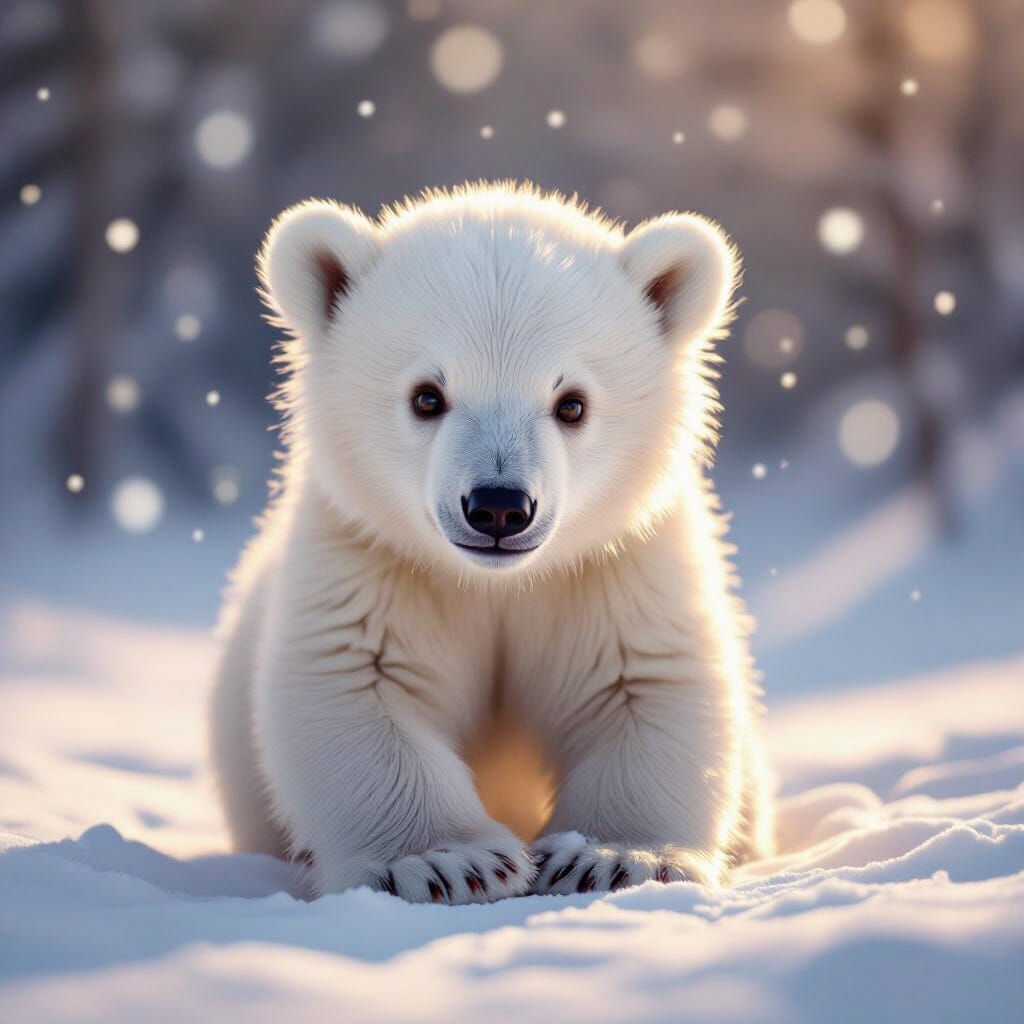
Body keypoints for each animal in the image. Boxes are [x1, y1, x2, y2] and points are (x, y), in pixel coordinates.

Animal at [209, 182, 774, 903]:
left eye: (571, 403)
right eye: (427, 396)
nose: (499, 506)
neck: (495, 587)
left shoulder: (613, 567)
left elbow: (646, 683)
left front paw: (614, 856)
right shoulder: (371, 555)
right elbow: (356, 683)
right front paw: (447, 861)